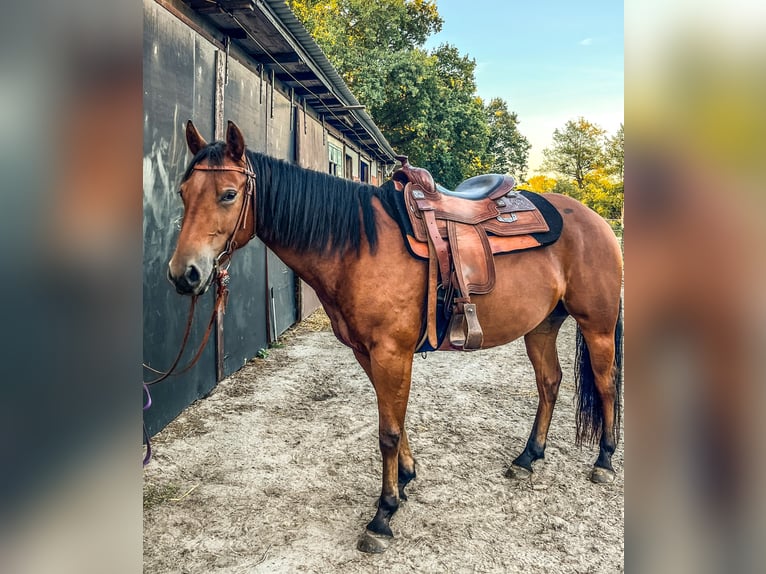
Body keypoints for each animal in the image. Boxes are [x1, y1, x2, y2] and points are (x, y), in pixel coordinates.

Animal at [167, 120, 624, 553]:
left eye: (228, 195)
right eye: (183, 192)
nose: (183, 274)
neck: (356, 247)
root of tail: (595, 219)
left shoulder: (391, 353)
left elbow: (386, 431)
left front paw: (383, 514)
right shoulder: (367, 353)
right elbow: (396, 423)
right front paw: (404, 479)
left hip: (596, 326)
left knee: (605, 385)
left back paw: (603, 460)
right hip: (542, 326)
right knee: (549, 383)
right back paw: (529, 457)